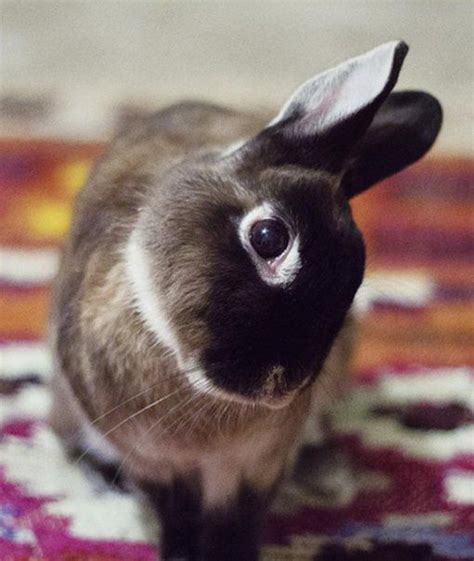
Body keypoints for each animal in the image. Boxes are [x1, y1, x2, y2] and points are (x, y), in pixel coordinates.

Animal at [48, 40, 440, 560]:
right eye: (269, 237)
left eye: (354, 278)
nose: (281, 383)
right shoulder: (154, 466)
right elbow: (177, 518)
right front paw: (178, 554)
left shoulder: (259, 465)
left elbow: (239, 521)